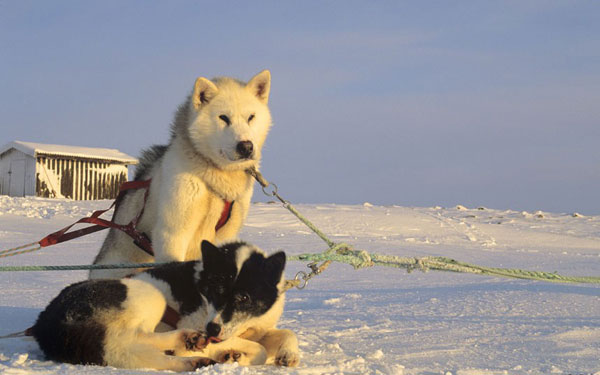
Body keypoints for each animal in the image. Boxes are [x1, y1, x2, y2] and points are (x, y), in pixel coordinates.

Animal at [30, 242, 298, 372]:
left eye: (243, 297)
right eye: (215, 290)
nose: (211, 330)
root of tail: (45, 323)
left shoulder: (254, 328)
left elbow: (284, 333)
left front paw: (288, 354)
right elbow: (259, 349)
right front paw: (235, 356)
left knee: (133, 348)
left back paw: (190, 355)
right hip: (152, 296)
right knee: (125, 342)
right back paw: (188, 346)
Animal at [91, 72, 272, 280]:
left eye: (251, 117)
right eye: (223, 118)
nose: (246, 146)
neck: (216, 179)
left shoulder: (225, 235)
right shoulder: (173, 232)